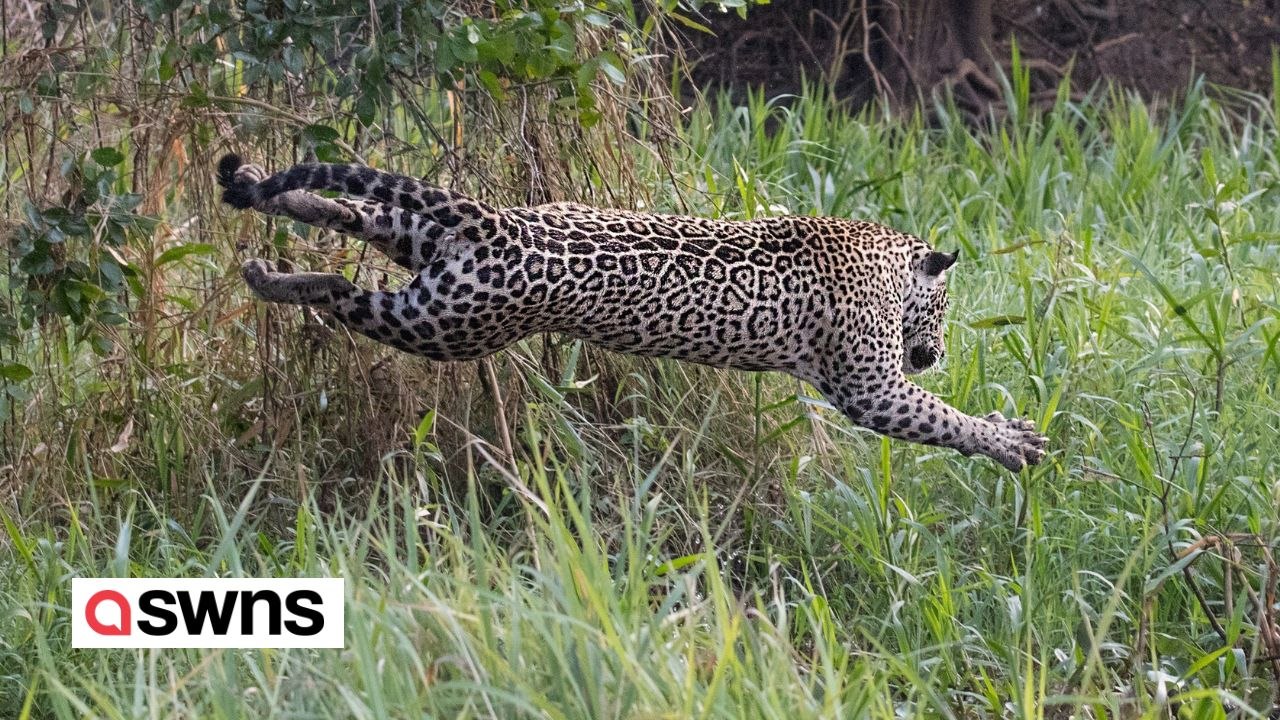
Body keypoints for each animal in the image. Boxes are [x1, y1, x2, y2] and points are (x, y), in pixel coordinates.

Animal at [217, 154, 1048, 472]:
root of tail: (496, 222)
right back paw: (274, 279)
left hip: (428, 256)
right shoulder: (868, 383)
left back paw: (275, 196)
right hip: (447, 325)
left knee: (360, 213)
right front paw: (1009, 442)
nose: (935, 353)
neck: (886, 258)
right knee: (344, 292)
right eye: (942, 308)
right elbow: (935, 416)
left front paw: (1006, 430)